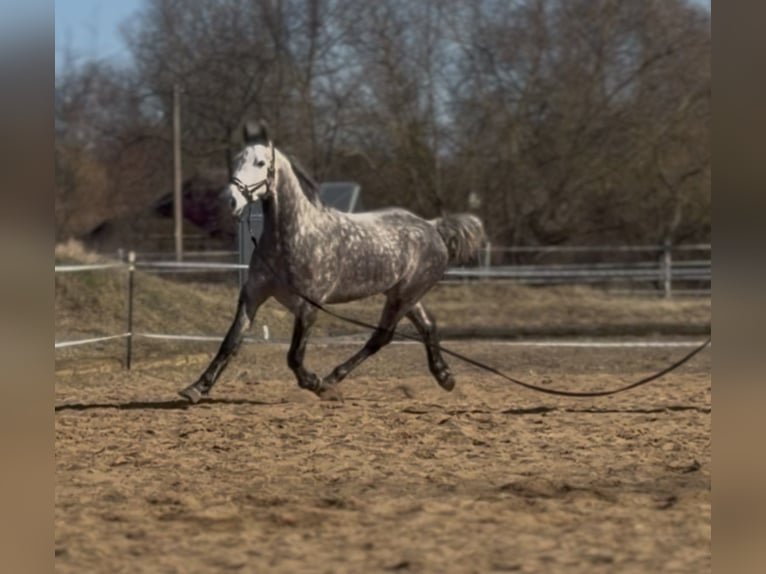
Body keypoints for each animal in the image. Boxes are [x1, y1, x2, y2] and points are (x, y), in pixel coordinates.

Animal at [179, 120, 486, 404]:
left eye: (261, 162)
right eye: (236, 160)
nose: (230, 201)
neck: (294, 237)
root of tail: (432, 227)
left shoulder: (309, 305)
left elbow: (294, 356)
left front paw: (314, 383)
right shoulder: (253, 296)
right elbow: (230, 343)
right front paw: (196, 388)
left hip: (404, 296)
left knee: (381, 337)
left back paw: (331, 379)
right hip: (403, 294)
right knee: (427, 325)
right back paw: (445, 376)